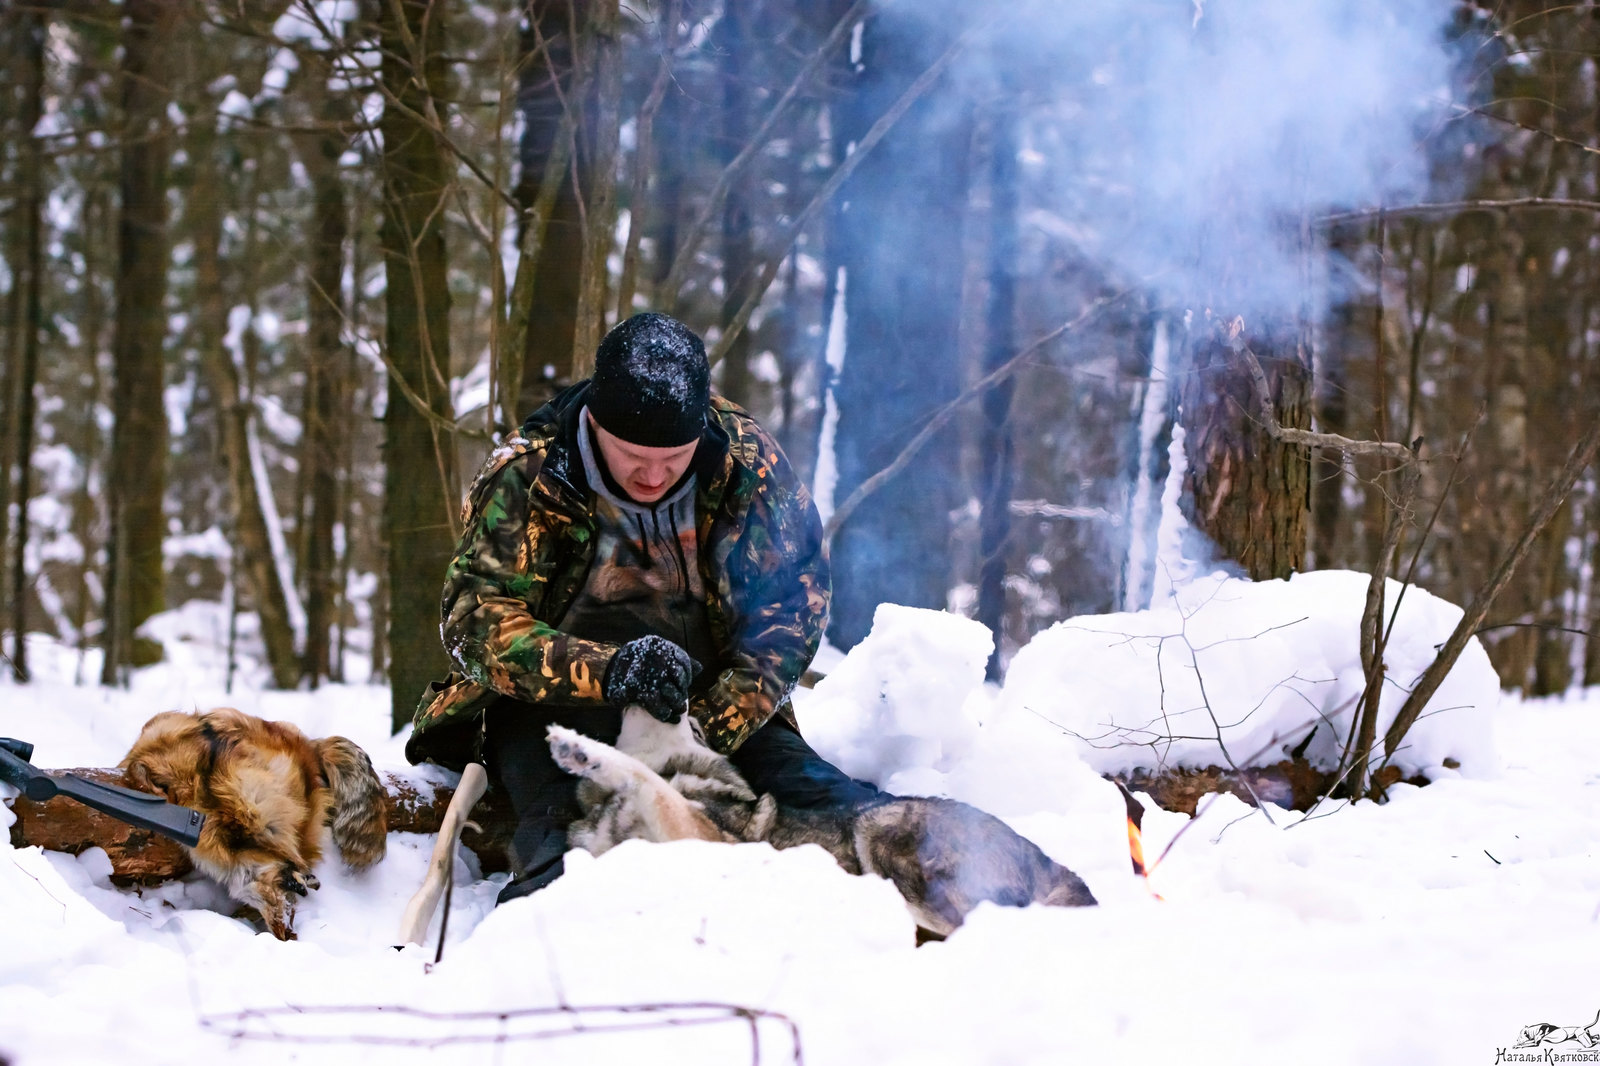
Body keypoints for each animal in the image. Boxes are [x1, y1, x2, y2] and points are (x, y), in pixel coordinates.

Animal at [544, 710, 1094, 934]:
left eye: (692, 725)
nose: (676, 698)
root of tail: (1056, 865)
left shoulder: (700, 834)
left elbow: (636, 774)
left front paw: (580, 748)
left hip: (882, 835)